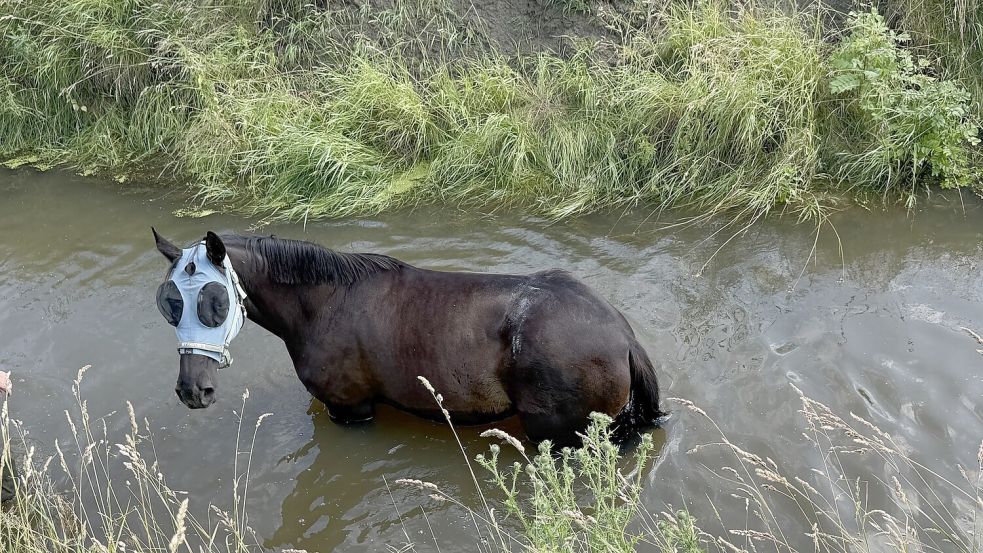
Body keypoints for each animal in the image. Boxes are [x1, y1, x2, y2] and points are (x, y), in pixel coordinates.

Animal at [152, 229, 662, 446]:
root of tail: (622, 334)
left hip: (559, 436)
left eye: (217, 301)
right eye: (170, 302)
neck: (324, 303)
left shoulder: (351, 410)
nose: (193, 390)